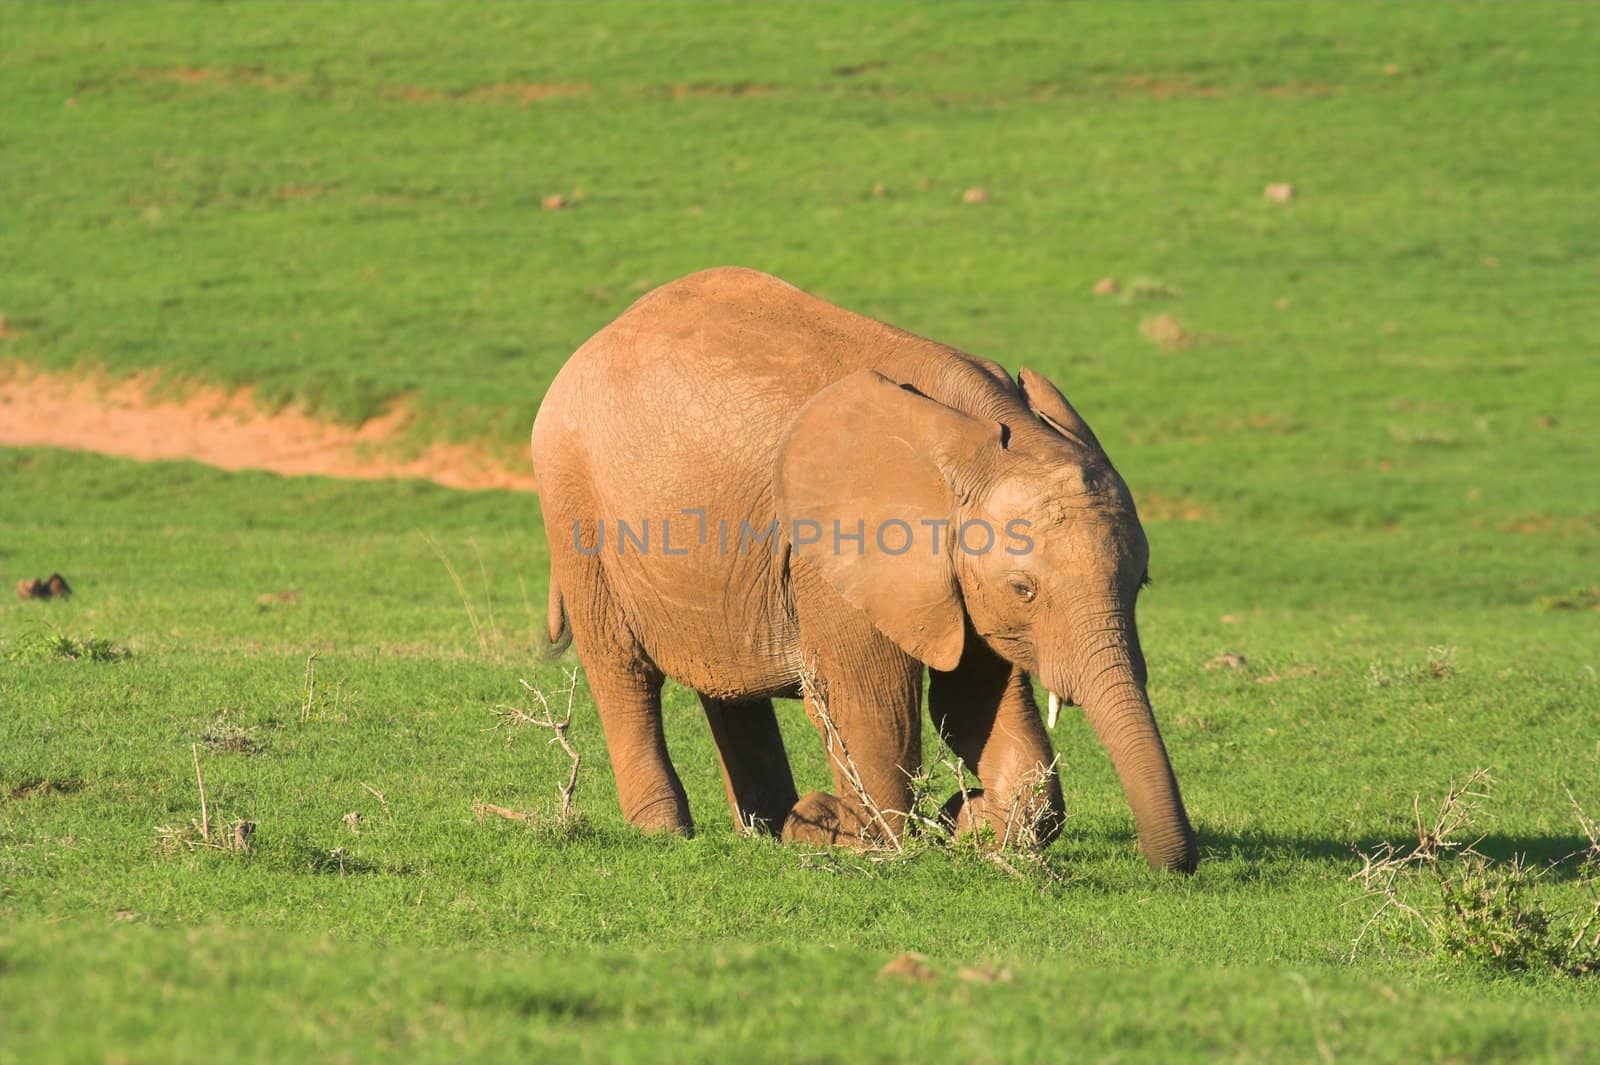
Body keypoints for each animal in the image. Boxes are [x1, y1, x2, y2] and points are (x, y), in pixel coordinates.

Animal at [531, 265, 1196, 869]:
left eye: (1141, 584)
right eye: (1024, 588)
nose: (1175, 864)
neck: (980, 434)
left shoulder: (955, 576)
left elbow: (975, 702)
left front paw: (971, 824)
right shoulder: (837, 553)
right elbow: (873, 706)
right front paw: (858, 836)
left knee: (727, 684)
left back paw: (768, 829)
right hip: (576, 509)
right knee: (624, 673)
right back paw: (673, 832)